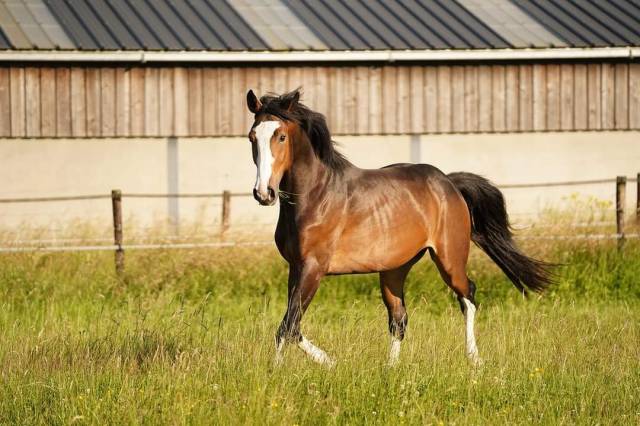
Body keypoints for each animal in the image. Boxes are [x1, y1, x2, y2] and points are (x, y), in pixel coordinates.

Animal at [245, 89, 556, 366]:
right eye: (252, 137)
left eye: (281, 136)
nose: (264, 193)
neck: (315, 196)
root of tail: (449, 183)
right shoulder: (296, 267)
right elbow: (292, 325)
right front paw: (321, 364)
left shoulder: (314, 267)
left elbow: (288, 326)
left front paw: (307, 366)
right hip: (395, 268)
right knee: (399, 318)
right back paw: (390, 369)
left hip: (449, 259)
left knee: (468, 296)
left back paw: (474, 359)